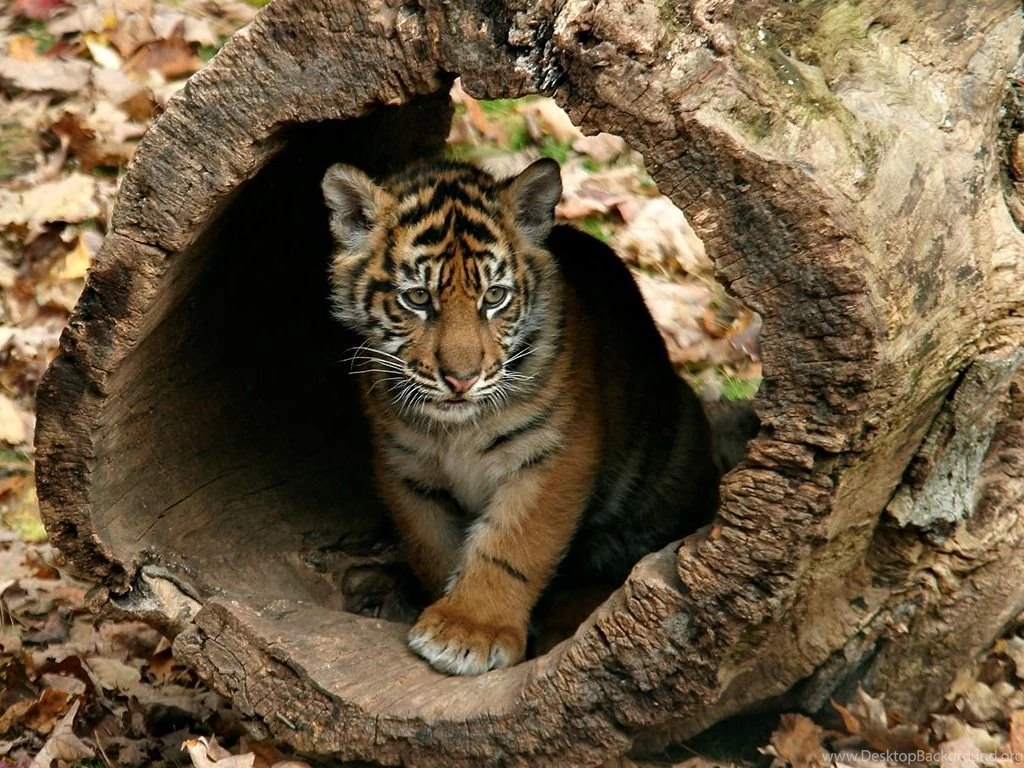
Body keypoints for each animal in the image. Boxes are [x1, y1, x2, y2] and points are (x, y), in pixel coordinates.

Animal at [321, 157, 719, 676]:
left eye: (494, 297)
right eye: (417, 299)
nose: (461, 379)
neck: (457, 428)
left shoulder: (555, 455)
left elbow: (512, 546)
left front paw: (470, 629)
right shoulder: (404, 466)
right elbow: (433, 546)